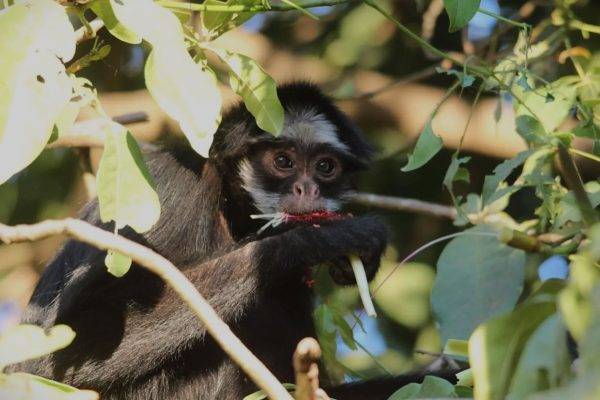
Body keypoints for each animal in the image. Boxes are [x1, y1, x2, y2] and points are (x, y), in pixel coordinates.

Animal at [11, 83, 449, 400]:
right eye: (283, 161)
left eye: (326, 167)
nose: (307, 190)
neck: (226, 206)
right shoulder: (172, 188)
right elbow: (63, 354)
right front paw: (315, 238)